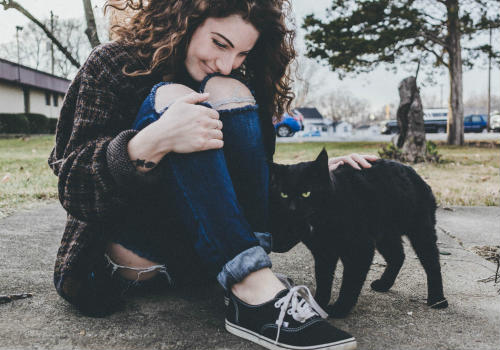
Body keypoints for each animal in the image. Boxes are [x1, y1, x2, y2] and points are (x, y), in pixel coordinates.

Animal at [270, 149, 450, 318]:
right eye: (283, 194)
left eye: (306, 193)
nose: (292, 209)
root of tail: (416, 174)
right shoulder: (323, 254)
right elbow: (323, 280)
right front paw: (317, 304)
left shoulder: (360, 250)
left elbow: (350, 283)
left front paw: (340, 309)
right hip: (385, 235)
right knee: (398, 256)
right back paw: (384, 284)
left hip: (421, 232)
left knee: (432, 263)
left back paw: (437, 300)